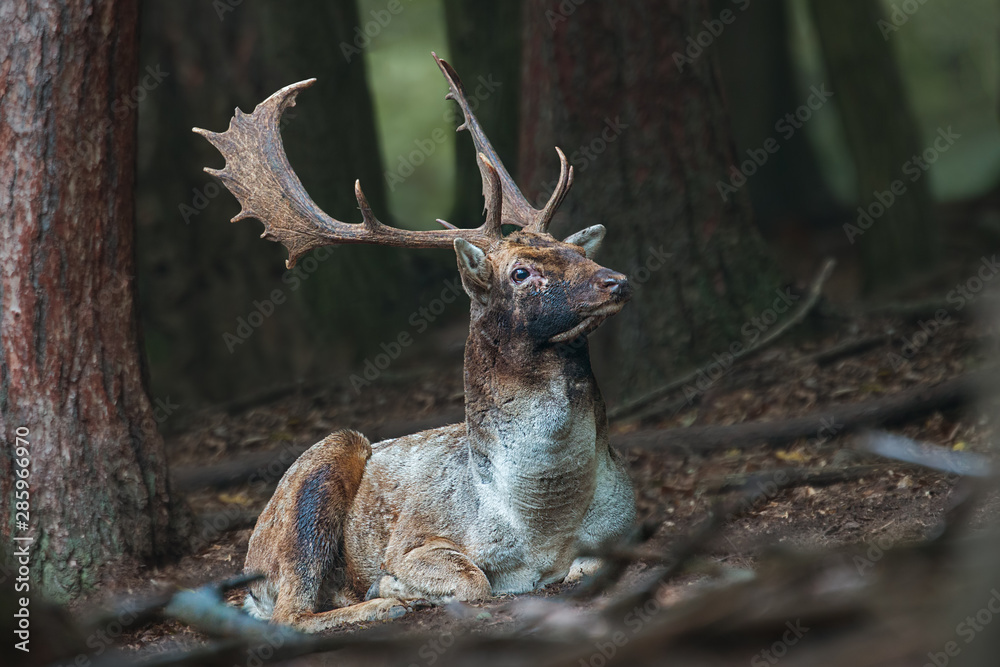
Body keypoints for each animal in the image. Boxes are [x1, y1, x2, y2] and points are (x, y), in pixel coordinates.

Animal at [194, 53, 636, 632]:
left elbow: (591, 563)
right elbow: (472, 582)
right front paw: (398, 585)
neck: (543, 524)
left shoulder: (626, 522)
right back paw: (384, 602)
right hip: (315, 480)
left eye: (575, 250)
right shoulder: (417, 539)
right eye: (520, 272)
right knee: (290, 612)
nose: (616, 281)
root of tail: (251, 573)